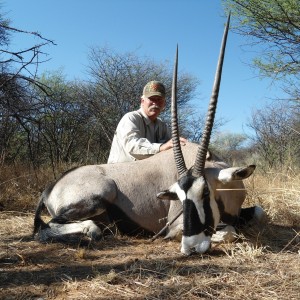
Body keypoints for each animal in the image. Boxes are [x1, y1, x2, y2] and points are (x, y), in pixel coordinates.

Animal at [33, 15, 264, 254]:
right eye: (180, 198)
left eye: (206, 193)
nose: (191, 247)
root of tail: (51, 187)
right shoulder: (174, 226)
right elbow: (229, 232)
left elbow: (258, 212)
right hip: (100, 194)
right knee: (51, 227)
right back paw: (92, 232)